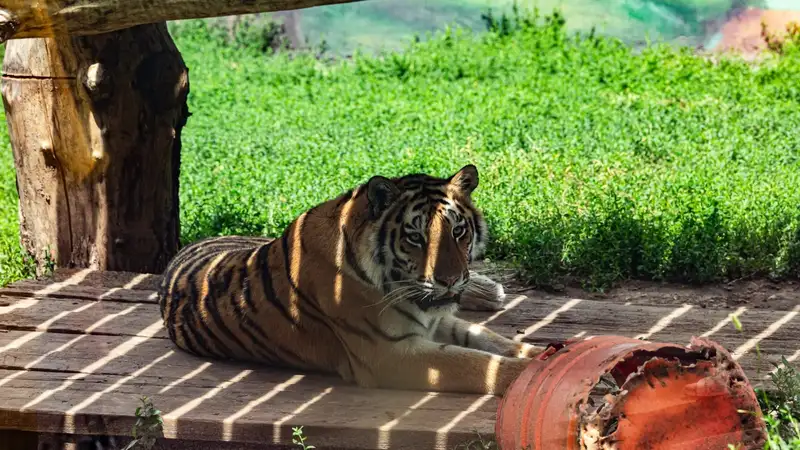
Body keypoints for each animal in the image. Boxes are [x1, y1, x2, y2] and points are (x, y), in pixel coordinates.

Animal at [158, 165, 544, 394]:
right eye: (416, 237)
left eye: (459, 231)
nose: (450, 280)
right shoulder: (390, 354)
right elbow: (476, 363)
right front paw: (528, 372)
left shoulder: (433, 320)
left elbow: (490, 339)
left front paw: (540, 352)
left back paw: (489, 290)